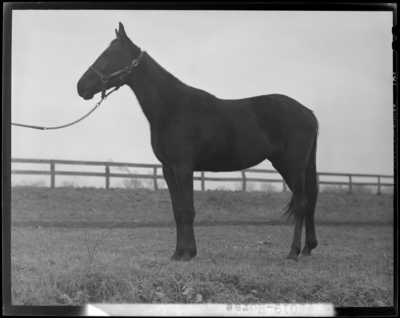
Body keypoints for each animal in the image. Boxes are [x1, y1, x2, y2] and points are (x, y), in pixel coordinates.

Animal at [77, 21, 318, 260]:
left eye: (110, 53)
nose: (81, 86)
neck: (173, 107)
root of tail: (308, 112)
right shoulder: (168, 169)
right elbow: (177, 212)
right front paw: (177, 253)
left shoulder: (184, 167)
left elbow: (187, 211)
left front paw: (189, 253)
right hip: (284, 164)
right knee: (310, 199)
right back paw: (308, 247)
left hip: (294, 165)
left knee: (301, 204)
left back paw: (293, 251)